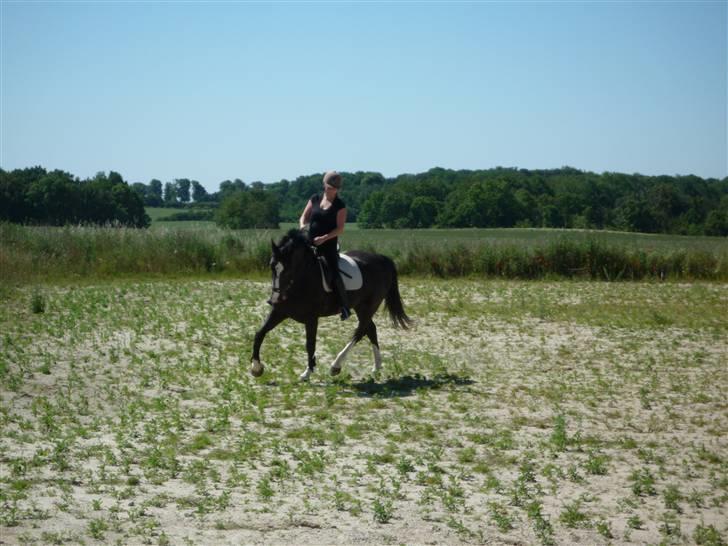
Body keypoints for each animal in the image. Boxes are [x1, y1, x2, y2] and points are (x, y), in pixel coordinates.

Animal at [250, 228, 410, 378]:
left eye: (289, 269)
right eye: (271, 266)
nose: (273, 299)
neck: (301, 279)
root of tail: (382, 259)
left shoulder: (311, 318)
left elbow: (310, 344)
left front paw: (307, 373)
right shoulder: (280, 311)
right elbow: (259, 333)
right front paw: (256, 368)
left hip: (369, 306)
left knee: (360, 332)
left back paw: (336, 366)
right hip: (360, 307)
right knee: (370, 329)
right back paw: (376, 366)